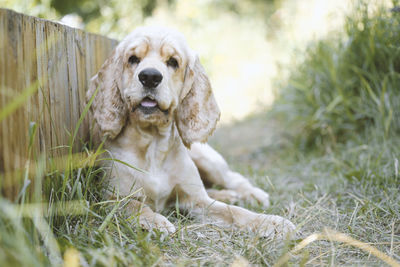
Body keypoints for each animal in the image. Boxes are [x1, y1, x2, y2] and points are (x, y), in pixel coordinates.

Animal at [86, 26, 294, 240]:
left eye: (173, 62)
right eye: (133, 59)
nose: (150, 77)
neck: (153, 144)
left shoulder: (196, 199)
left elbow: (236, 213)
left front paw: (272, 222)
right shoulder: (112, 197)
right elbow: (135, 207)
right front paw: (155, 222)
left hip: (207, 160)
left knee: (232, 178)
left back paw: (252, 194)